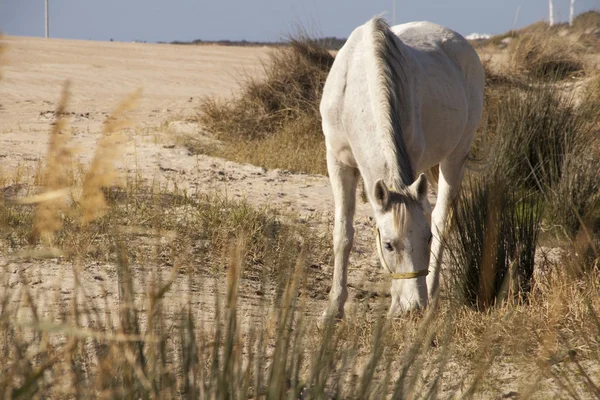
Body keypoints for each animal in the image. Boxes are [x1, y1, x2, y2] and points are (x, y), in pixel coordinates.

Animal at [322, 17, 486, 318]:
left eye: (426, 239)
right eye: (388, 245)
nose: (413, 308)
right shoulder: (338, 163)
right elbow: (343, 234)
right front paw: (334, 309)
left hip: (455, 157)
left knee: (441, 219)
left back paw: (432, 297)